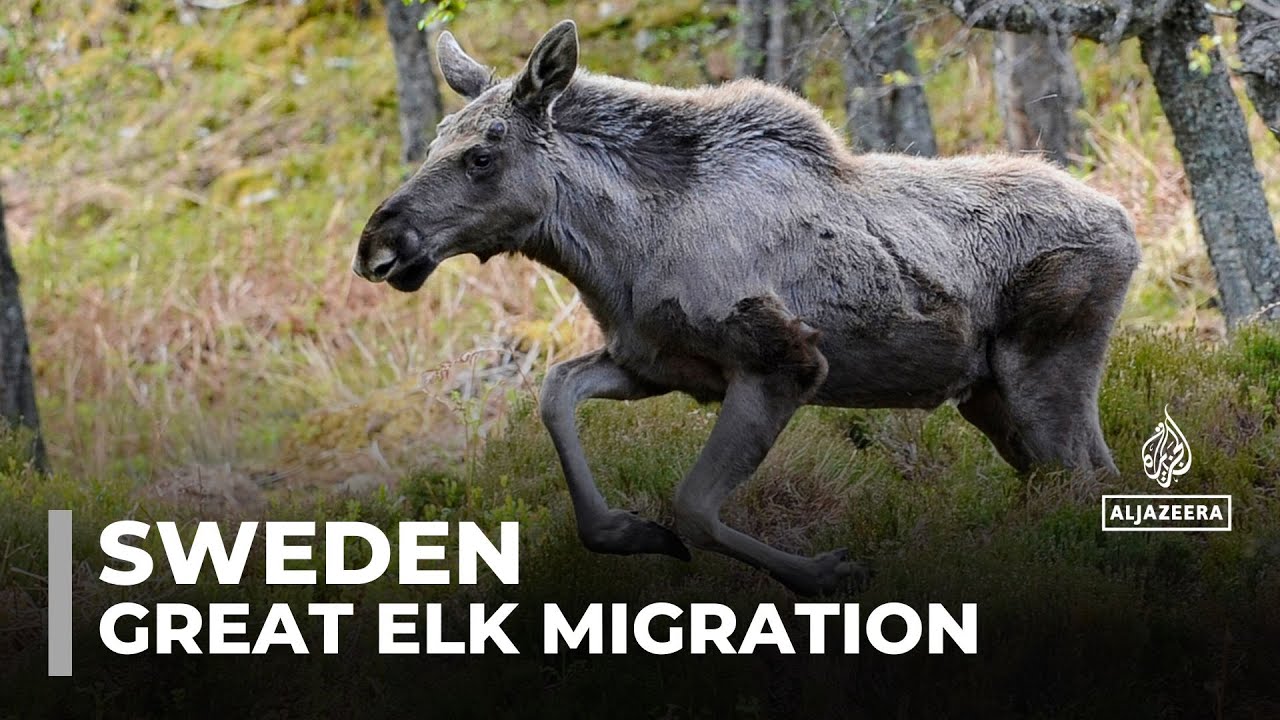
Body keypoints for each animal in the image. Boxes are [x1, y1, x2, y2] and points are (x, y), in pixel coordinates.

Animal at [352, 21, 1140, 595]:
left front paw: (825, 572)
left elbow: (696, 507)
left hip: (1045, 373)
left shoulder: (783, 361)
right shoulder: (656, 363)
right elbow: (555, 393)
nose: (377, 246)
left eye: (482, 156)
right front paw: (629, 531)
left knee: (1090, 482)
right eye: (434, 141)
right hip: (989, 396)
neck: (617, 252)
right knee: (1081, 481)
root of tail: (1127, 227)